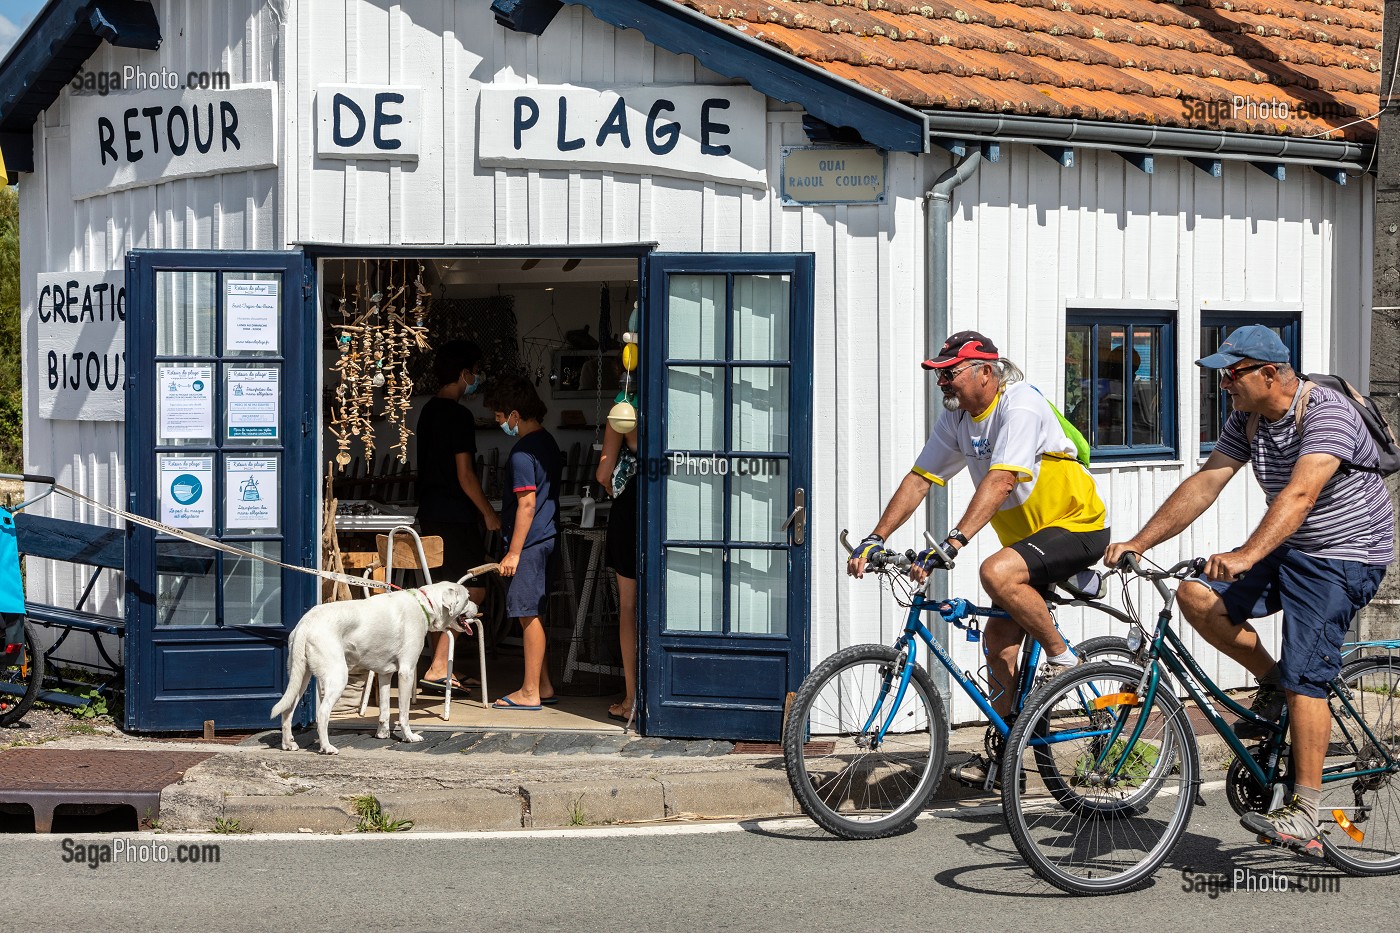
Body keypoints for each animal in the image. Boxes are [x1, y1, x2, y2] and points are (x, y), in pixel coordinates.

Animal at [270, 577, 478, 750]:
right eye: (468, 598)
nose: (477, 608)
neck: (424, 605)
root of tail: (306, 622)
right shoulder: (406, 672)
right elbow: (403, 713)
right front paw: (409, 736)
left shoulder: (385, 674)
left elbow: (384, 710)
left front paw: (382, 734)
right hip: (337, 677)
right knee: (322, 713)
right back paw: (327, 747)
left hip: (300, 678)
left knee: (287, 711)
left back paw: (288, 744)